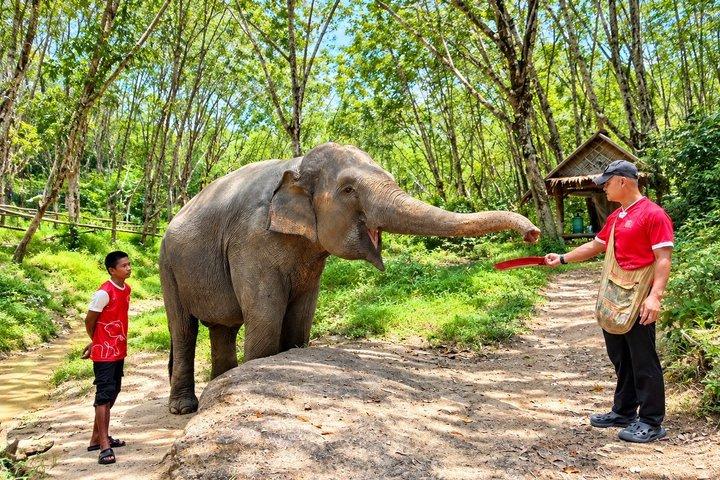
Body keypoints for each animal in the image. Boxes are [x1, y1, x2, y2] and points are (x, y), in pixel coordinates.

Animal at [160, 142, 540, 414]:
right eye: (348, 190)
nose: (533, 233)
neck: (296, 165)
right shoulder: (250, 239)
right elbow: (266, 316)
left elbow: (301, 317)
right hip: (168, 267)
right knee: (183, 329)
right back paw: (185, 408)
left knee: (222, 328)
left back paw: (218, 385)